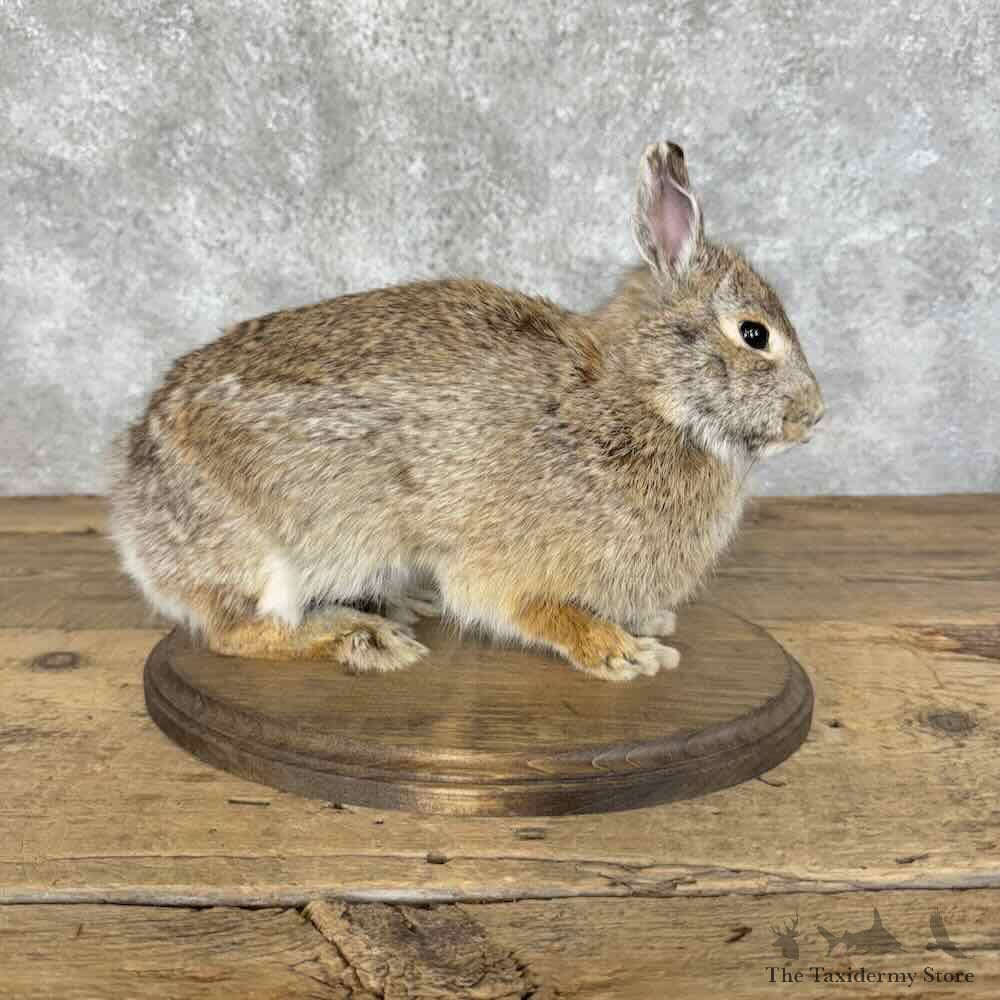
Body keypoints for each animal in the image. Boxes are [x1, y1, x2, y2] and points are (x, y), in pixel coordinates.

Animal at [109, 140, 823, 682]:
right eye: (754, 334)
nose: (814, 416)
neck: (640, 395)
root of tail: (131, 508)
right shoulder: (507, 560)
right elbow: (525, 608)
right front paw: (621, 652)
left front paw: (647, 623)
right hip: (267, 558)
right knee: (235, 632)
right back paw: (365, 637)